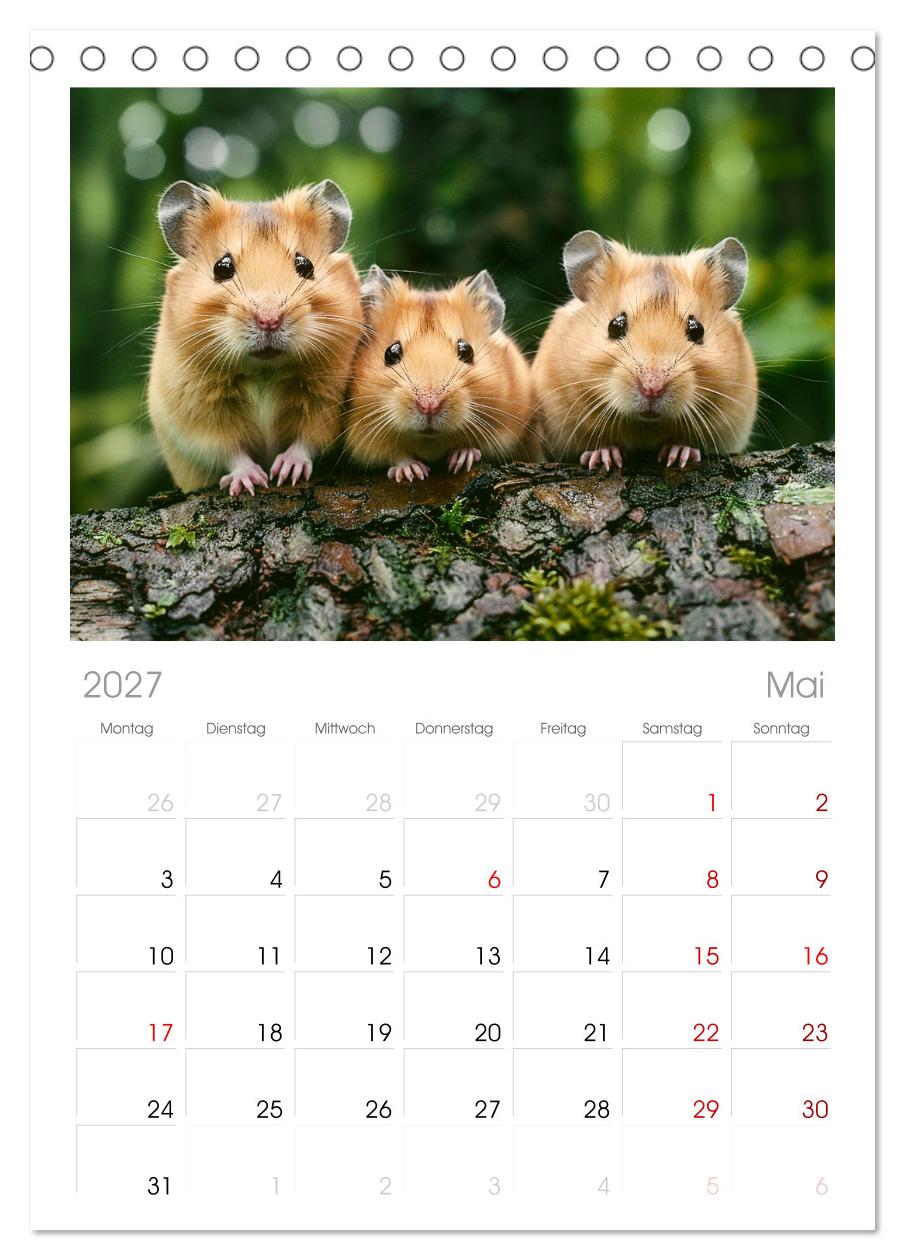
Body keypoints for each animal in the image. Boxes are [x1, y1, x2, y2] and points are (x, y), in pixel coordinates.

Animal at [148, 179, 362, 495]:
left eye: (305, 265)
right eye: (222, 267)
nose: (269, 319)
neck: (265, 371)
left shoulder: (326, 402)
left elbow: (308, 439)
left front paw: (287, 472)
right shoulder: (199, 416)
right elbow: (230, 451)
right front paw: (250, 481)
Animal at [344, 267, 537, 482]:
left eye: (467, 350)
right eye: (391, 353)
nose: (429, 406)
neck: (430, 441)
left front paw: (462, 458)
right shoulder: (365, 440)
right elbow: (396, 455)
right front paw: (414, 473)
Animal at [533, 232, 758, 470]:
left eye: (697, 329)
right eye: (615, 325)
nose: (652, 388)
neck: (646, 424)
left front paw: (679, 454)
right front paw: (605, 457)